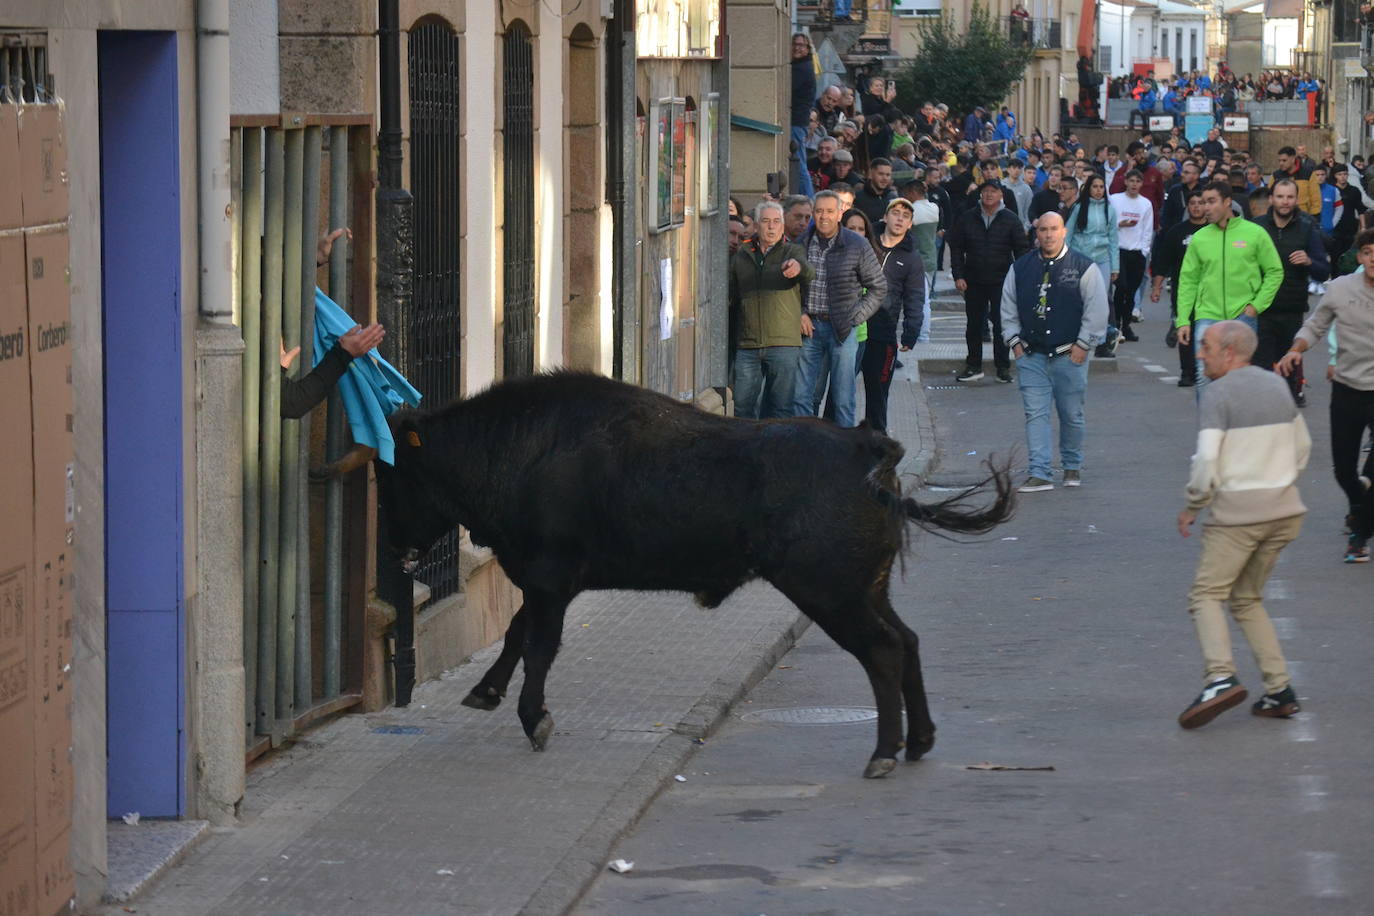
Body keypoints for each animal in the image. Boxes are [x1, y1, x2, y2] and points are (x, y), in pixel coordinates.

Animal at [329, 373, 1011, 780]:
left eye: (394, 474)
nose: (395, 548)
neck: (520, 447)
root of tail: (869, 451)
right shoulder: (549, 584)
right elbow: (518, 635)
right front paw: (487, 692)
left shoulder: (549, 580)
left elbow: (538, 646)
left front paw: (534, 717)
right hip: (868, 589)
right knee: (909, 642)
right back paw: (919, 741)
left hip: (831, 593)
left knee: (884, 651)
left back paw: (884, 753)